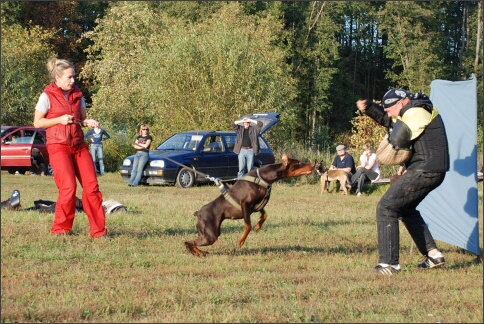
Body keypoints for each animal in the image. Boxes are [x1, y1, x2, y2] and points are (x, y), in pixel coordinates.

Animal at [183, 154, 316, 258]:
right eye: (298, 163)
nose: (314, 163)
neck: (264, 177)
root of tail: (198, 213)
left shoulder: (257, 205)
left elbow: (265, 215)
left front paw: (258, 226)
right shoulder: (245, 204)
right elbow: (248, 225)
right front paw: (241, 240)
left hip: (207, 233)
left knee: (191, 242)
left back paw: (199, 252)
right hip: (211, 235)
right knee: (187, 242)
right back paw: (197, 253)